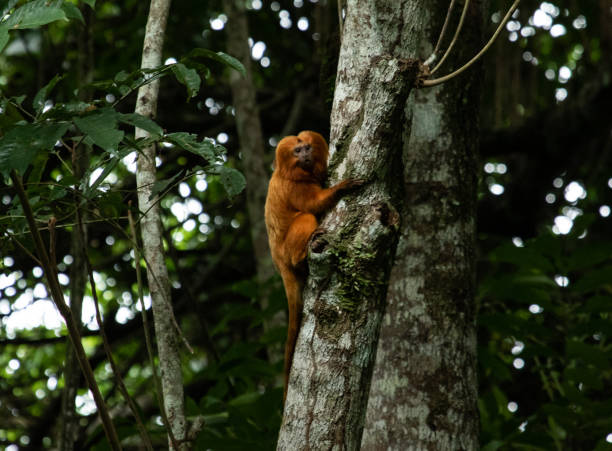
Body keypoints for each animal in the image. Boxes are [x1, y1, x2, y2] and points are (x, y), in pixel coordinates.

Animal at [264, 132, 364, 402]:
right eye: (297, 151)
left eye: (307, 147)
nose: (305, 155)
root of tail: (279, 262)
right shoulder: (294, 186)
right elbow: (313, 205)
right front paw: (341, 188)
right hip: (287, 250)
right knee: (305, 217)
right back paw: (301, 256)